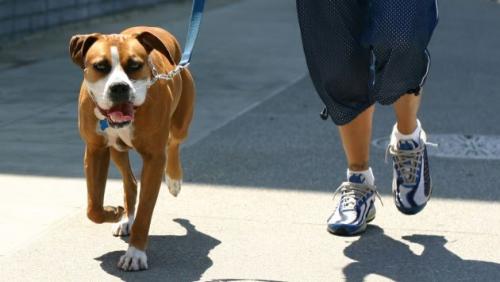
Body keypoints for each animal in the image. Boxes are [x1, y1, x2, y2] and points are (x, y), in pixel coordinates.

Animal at [69, 27, 194, 270]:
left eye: (135, 65)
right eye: (100, 66)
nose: (119, 87)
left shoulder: (154, 159)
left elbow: (145, 212)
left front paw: (135, 253)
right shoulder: (95, 150)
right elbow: (93, 208)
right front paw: (113, 212)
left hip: (181, 123)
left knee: (174, 143)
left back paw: (174, 180)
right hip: (116, 151)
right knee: (130, 182)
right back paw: (126, 218)